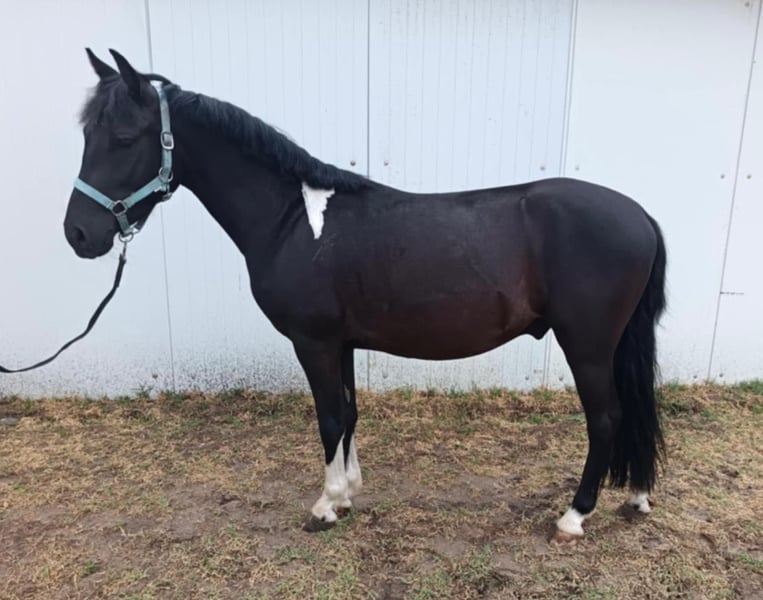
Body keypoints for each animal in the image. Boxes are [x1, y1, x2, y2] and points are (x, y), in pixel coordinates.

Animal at [63, 49, 666, 542]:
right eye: (86, 136)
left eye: (123, 139)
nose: (79, 235)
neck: (292, 220)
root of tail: (640, 214)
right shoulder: (343, 342)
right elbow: (350, 412)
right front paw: (349, 493)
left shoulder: (314, 342)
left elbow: (330, 418)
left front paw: (326, 506)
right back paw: (636, 498)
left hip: (587, 345)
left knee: (606, 418)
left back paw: (574, 517)